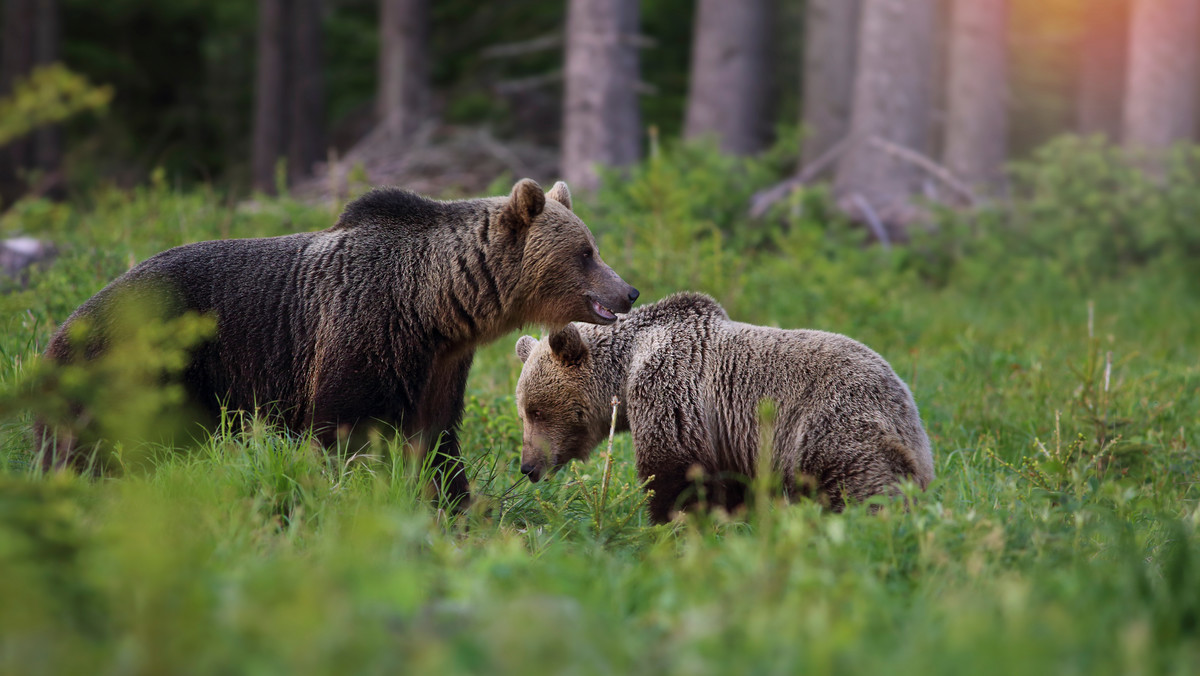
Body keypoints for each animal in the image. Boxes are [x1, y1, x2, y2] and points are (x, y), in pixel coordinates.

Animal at [37, 180, 638, 509]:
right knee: (97, 444)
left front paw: (457, 506)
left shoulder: (438, 365)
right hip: (140, 363)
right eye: (586, 251)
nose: (628, 290)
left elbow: (437, 440)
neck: (436, 304)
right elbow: (344, 430)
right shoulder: (365, 331)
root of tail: (65, 327)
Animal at [511, 291, 931, 523]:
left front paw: (670, 525)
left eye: (536, 410)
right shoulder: (731, 439)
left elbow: (675, 472)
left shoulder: (673, 389)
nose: (528, 466)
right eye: (525, 411)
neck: (626, 369)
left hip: (832, 425)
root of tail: (907, 409)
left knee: (860, 487)